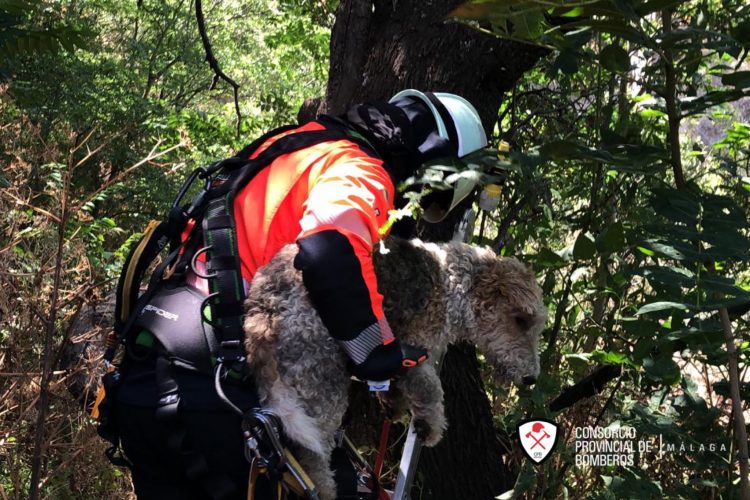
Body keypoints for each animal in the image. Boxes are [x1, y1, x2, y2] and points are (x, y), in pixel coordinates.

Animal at [245, 237, 548, 496]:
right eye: (521, 319)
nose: (532, 377)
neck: (453, 285)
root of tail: (263, 310)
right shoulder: (414, 351)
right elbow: (430, 389)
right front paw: (431, 428)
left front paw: (396, 407)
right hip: (319, 385)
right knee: (313, 457)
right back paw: (327, 489)